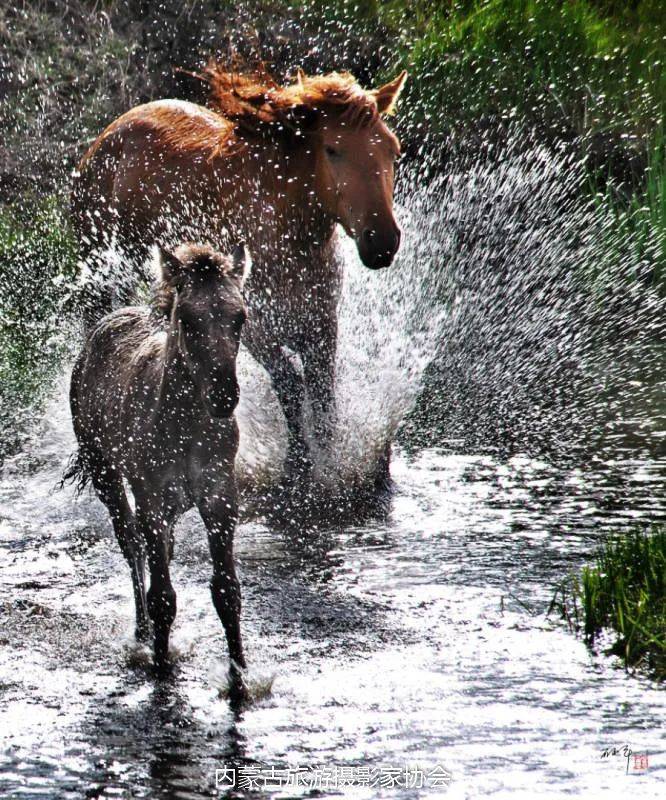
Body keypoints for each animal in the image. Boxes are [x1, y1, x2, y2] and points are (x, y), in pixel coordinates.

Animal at [68, 245, 249, 700]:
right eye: (188, 319)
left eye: (240, 317)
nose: (224, 396)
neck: (185, 425)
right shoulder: (151, 501)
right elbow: (163, 594)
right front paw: (161, 667)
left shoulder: (220, 501)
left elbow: (227, 592)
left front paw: (240, 680)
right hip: (106, 475)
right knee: (132, 545)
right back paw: (143, 633)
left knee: (158, 550)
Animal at [71, 65, 404, 488]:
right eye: (333, 149)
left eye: (393, 149)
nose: (382, 242)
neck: (287, 236)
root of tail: (106, 137)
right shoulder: (256, 329)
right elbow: (291, 387)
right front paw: (298, 466)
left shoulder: (321, 324)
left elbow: (322, 394)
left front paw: (332, 460)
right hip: (103, 275)